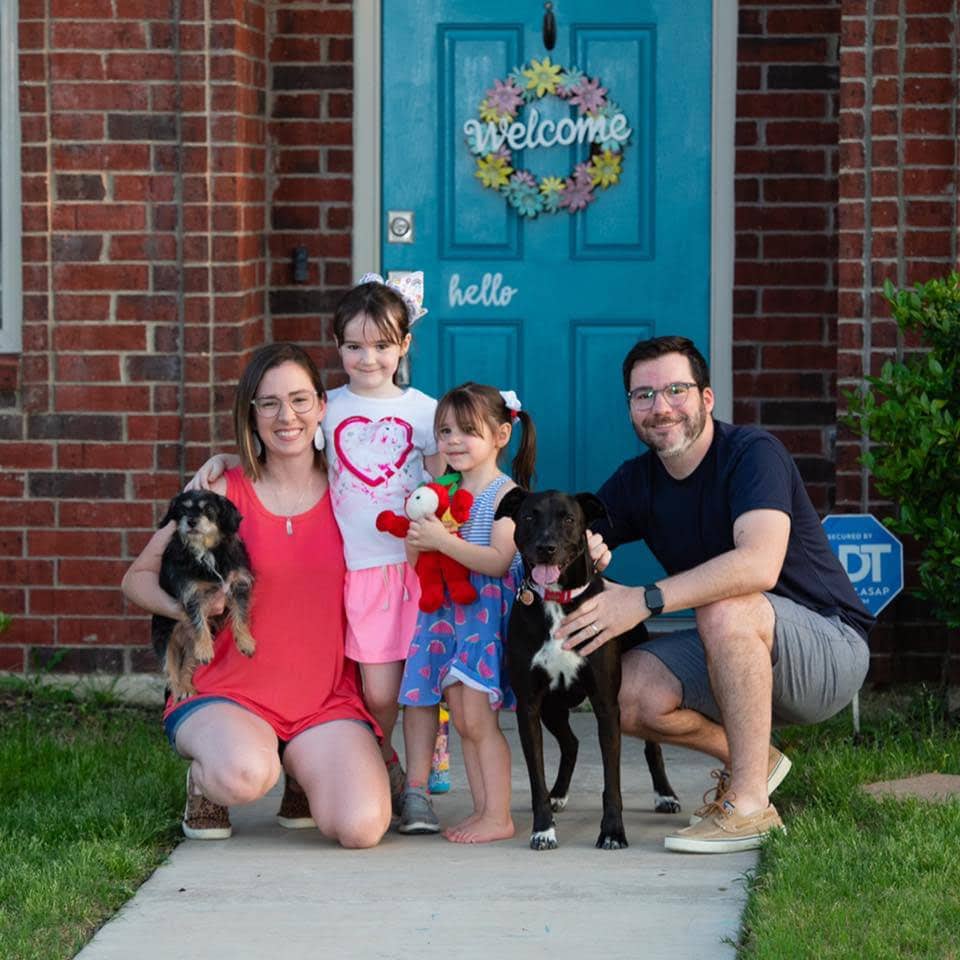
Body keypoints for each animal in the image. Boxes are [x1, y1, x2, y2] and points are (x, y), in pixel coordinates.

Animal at [152, 492, 255, 700]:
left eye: (208, 509)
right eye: (182, 509)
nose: (191, 521)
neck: (206, 551)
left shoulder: (239, 584)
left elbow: (241, 615)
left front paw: (246, 642)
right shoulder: (192, 594)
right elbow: (199, 622)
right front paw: (206, 649)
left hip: (189, 649)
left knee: (187, 665)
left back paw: (186, 686)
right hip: (165, 636)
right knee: (171, 669)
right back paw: (179, 690)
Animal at [496, 492, 684, 852]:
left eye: (569, 518)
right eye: (528, 517)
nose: (546, 547)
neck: (557, 601)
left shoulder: (606, 705)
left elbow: (612, 782)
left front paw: (612, 832)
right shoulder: (529, 706)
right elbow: (536, 779)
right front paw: (543, 829)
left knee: (652, 747)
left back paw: (665, 794)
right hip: (552, 708)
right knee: (570, 744)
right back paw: (558, 794)